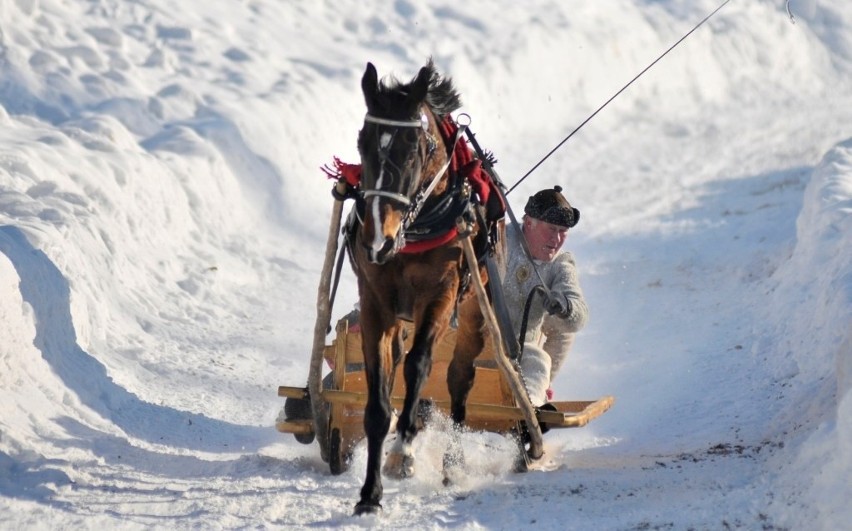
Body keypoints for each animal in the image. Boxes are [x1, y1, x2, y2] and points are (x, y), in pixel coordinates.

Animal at [344, 61, 506, 516]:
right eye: (362, 142)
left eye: (412, 148)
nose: (377, 241)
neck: (414, 230)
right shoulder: (375, 302)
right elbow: (379, 398)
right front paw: (370, 493)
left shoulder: (442, 294)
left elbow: (420, 366)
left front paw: (405, 450)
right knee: (401, 357)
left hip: (473, 312)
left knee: (458, 377)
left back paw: (450, 461)